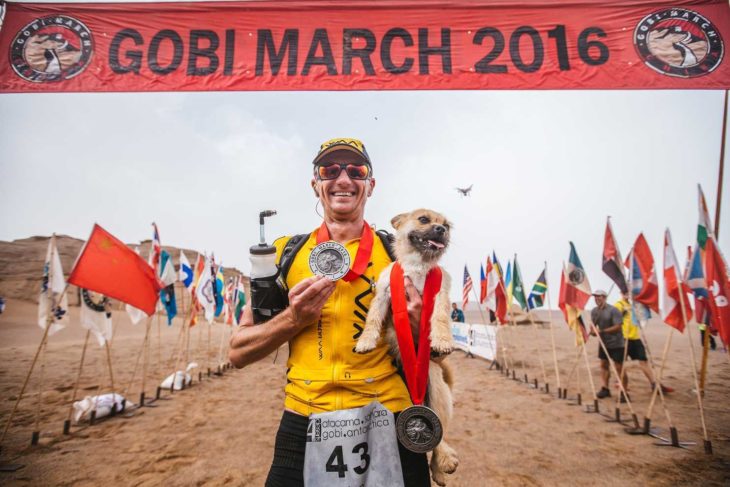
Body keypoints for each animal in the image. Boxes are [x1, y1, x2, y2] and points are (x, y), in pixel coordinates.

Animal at [356, 209, 458, 487]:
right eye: (424, 219)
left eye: (446, 225)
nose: (441, 230)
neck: (418, 266)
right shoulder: (383, 295)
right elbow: (372, 319)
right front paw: (365, 341)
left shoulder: (440, 295)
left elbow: (440, 318)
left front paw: (442, 340)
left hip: (438, 392)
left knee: (440, 436)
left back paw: (443, 462)